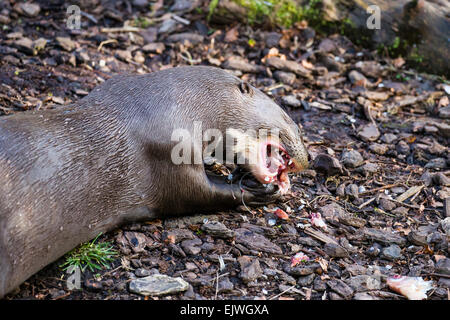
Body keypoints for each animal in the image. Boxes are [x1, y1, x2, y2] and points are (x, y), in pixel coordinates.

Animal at [0, 66, 306, 298]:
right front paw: (261, 190)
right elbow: (195, 193)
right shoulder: (171, 152)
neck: (183, 103)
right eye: (291, 121)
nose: (310, 156)